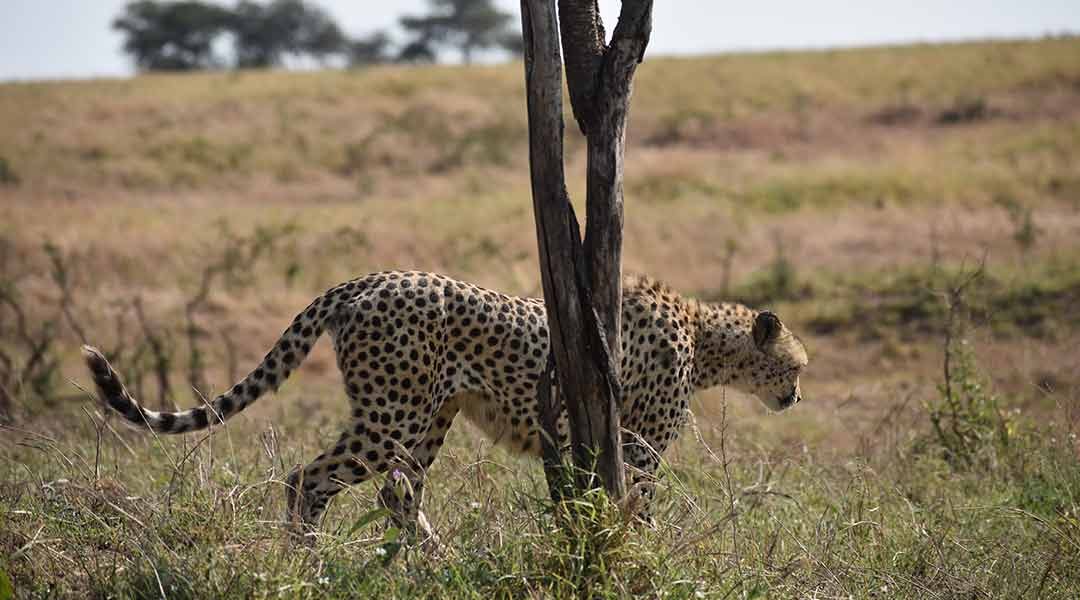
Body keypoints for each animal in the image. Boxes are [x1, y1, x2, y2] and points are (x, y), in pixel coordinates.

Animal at [81, 270, 808, 543]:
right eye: (797, 366)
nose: (797, 395)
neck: (705, 333)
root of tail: (365, 281)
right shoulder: (638, 445)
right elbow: (637, 504)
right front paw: (643, 549)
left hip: (430, 417)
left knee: (397, 492)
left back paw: (430, 560)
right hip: (392, 416)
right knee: (307, 478)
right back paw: (308, 560)